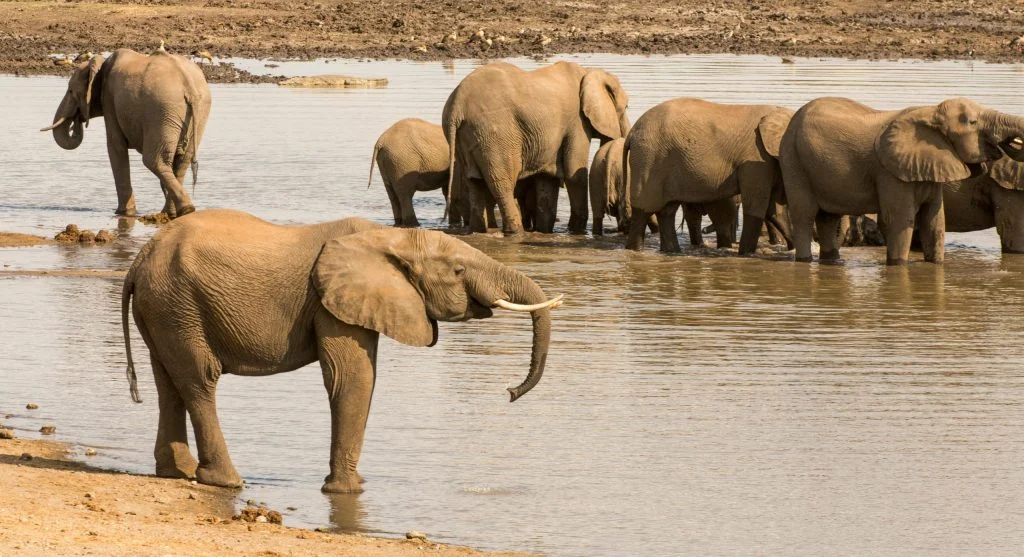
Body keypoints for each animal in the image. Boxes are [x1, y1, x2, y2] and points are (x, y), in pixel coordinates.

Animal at [41, 47, 211, 218]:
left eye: (70, 91)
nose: (76, 121)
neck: (101, 65)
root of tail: (189, 87)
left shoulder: (109, 100)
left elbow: (115, 147)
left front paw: (123, 213)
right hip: (195, 114)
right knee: (182, 161)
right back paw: (175, 213)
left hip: (162, 110)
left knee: (154, 161)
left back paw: (183, 209)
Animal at [121, 209, 562, 493]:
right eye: (458, 270)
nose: (510, 393)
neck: (388, 238)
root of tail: (139, 262)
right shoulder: (329, 302)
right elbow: (352, 378)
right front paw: (348, 492)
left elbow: (362, 377)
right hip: (178, 304)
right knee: (200, 379)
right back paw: (226, 481)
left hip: (165, 308)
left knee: (169, 381)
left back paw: (176, 473)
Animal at [443, 61, 630, 235]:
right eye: (626, 107)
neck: (588, 72)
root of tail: (457, 105)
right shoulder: (577, 122)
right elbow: (574, 174)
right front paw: (577, 231)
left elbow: (548, 179)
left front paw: (545, 231)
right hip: (494, 135)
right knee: (503, 185)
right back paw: (516, 233)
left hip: (466, 138)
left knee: (475, 183)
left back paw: (478, 231)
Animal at [624, 98, 794, 253]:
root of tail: (632, 132)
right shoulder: (756, 159)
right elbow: (756, 207)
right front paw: (746, 254)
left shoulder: (768, 161)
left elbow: (775, 211)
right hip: (648, 160)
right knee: (643, 210)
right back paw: (635, 250)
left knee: (667, 212)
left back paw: (672, 251)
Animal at [779, 97, 1024, 264]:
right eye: (972, 122)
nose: (1010, 143)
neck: (931, 113)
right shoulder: (890, 172)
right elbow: (899, 220)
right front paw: (898, 267)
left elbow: (934, 222)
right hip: (793, 160)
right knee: (804, 215)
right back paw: (804, 261)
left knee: (828, 218)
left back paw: (832, 261)